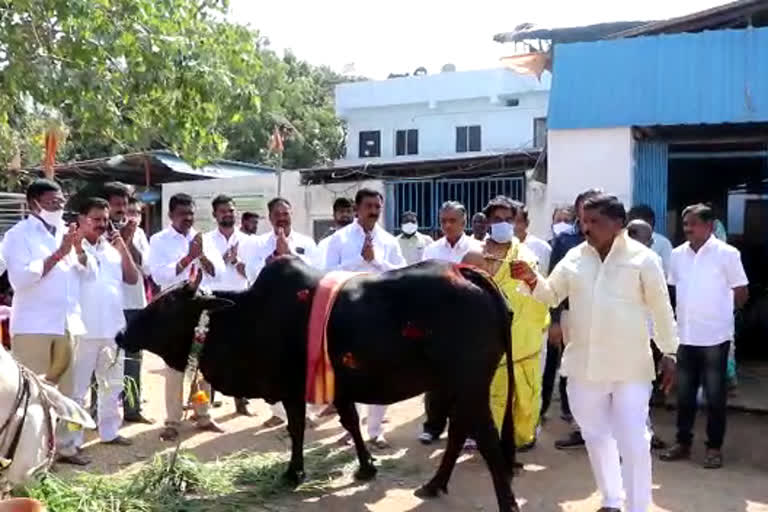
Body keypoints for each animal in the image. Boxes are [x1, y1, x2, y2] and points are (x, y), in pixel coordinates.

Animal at [115, 260, 520, 512]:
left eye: (166, 305)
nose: (121, 333)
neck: (245, 316)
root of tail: (462, 270)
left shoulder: (292, 389)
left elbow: (297, 428)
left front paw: (293, 473)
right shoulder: (338, 388)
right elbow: (351, 423)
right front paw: (366, 467)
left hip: (469, 383)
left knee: (485, 439)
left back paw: (506, 501)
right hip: (455, 385)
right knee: (460, 432)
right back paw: (435, 485)